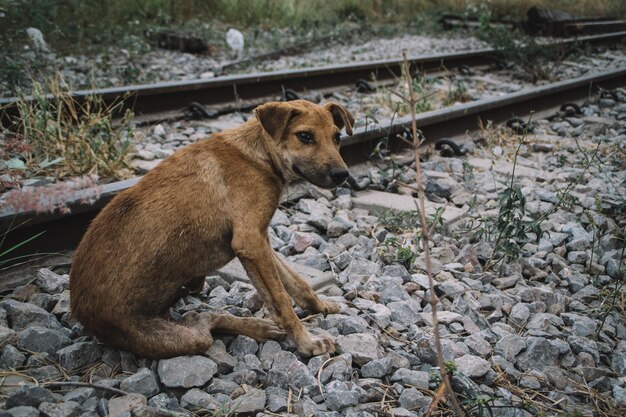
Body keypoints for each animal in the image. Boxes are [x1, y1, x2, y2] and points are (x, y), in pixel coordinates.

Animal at [70, 100, 354, 358]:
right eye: (304, 136)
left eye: (337, 137)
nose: (343, 175)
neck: (259, 155)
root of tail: (80, 311)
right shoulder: (250, 241)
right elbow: (281, 298)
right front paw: (307, 342)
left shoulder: (258, 239)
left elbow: (295, 280)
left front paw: (320, 306)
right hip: (177, 337)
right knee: (199, 321)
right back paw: (256, 327)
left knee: (197, 315)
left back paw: (258, 327)